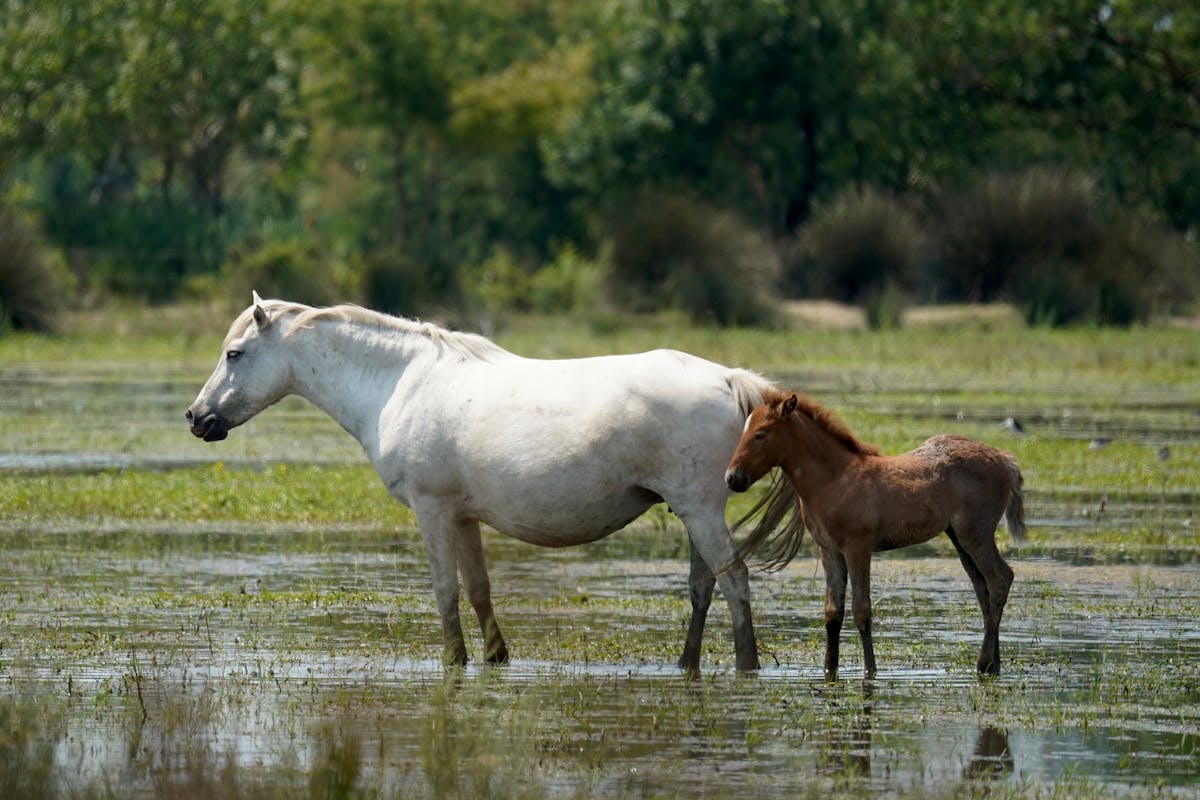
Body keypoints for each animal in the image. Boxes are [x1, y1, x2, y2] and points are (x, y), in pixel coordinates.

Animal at [186, 293, 797, 671]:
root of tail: (725, 379)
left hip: (700, 510)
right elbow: (479, 590)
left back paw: (747, 667)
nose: (196, 418)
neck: (401, 382)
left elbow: (445, 591)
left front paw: (453, 661)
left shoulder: (431, 511)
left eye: (234, 353)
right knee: (702, 589)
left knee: (735, 581)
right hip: (690, 512)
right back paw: (685, 665)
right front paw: (496, 658)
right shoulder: (463, 516)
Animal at [724, 390, 1026, 679]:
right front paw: (829, 669)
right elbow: (832, 613)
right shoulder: (829, 550)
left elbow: (861, 610)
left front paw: (870, 670)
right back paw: (994, 663)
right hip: (958, 537)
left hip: (976, 533)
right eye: (744, 431)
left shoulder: (858, 546)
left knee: (1000, 578)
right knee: (983, 588)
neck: (832, 480)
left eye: (761, 434)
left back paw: (984, 662)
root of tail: (1003, 458)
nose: (732, 478)